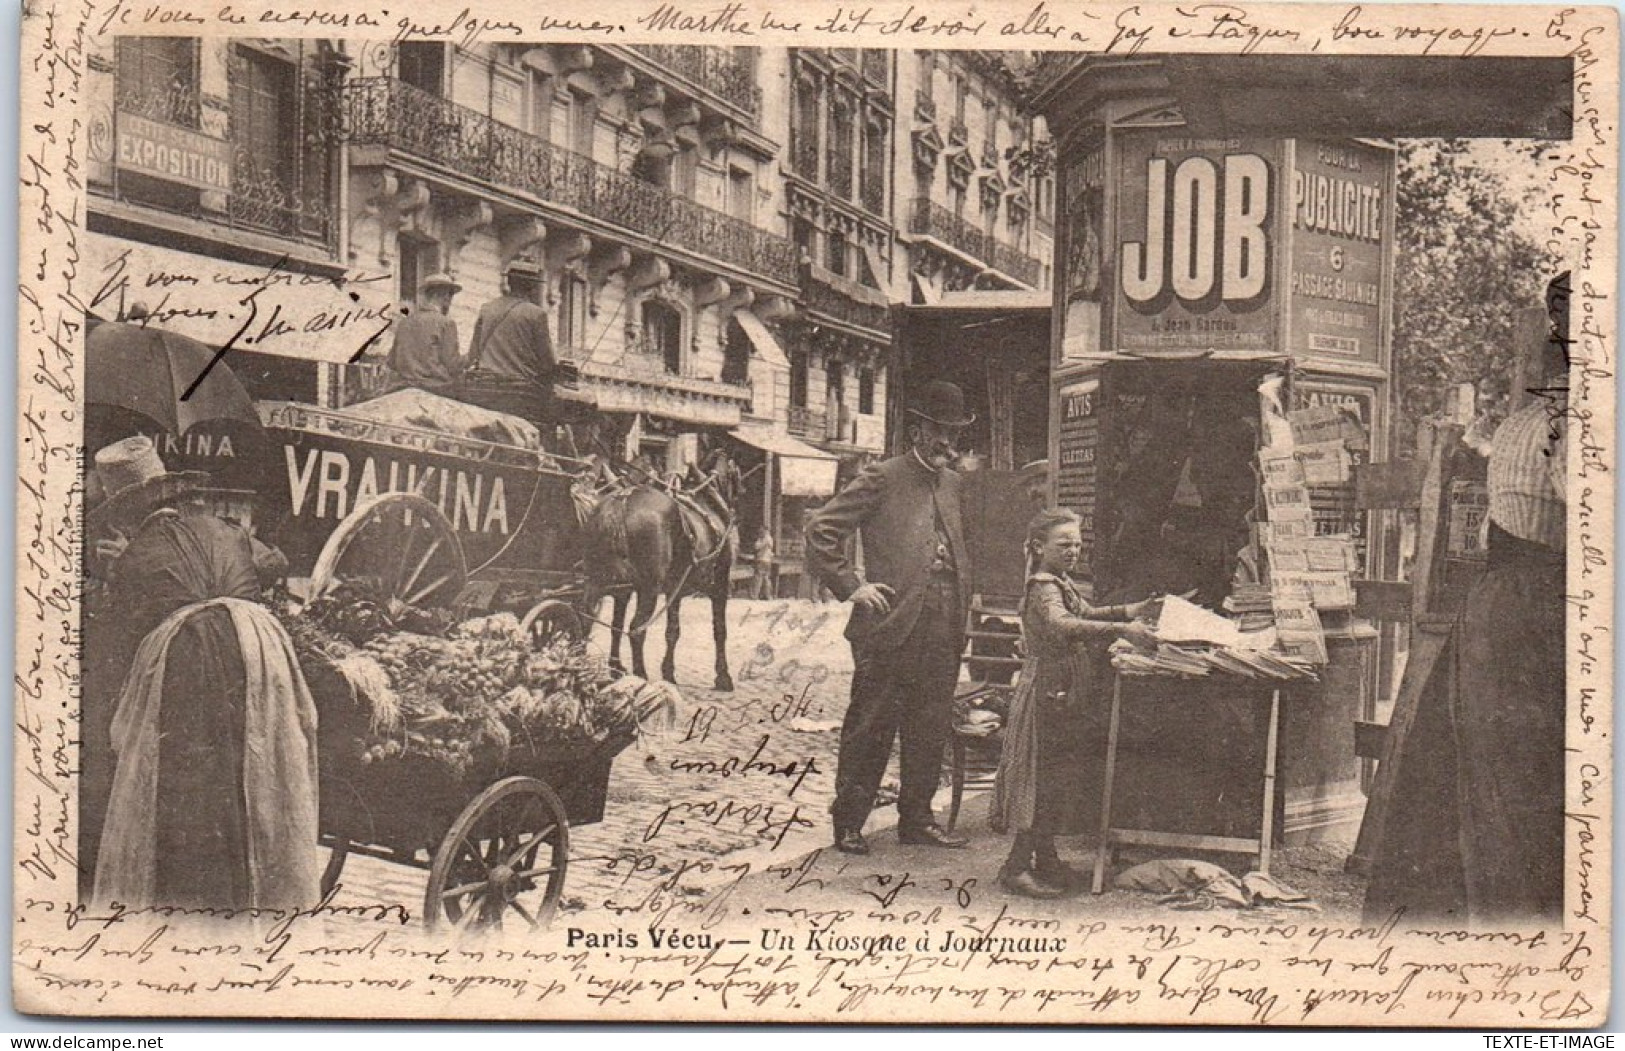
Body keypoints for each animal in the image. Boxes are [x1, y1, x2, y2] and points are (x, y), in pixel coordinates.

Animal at [578, 451, 744, 692]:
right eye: (736, 473)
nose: (743, 493)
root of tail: (622, 501)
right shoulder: (719, 586)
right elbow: (720, 630)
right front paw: (723, 676)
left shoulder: (674, 591)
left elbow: (672, 631)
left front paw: (668, 673)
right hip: (648, 588)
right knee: (637, 628)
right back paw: (640, 676)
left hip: (601, 582)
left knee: (588, 618)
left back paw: (582, 667)